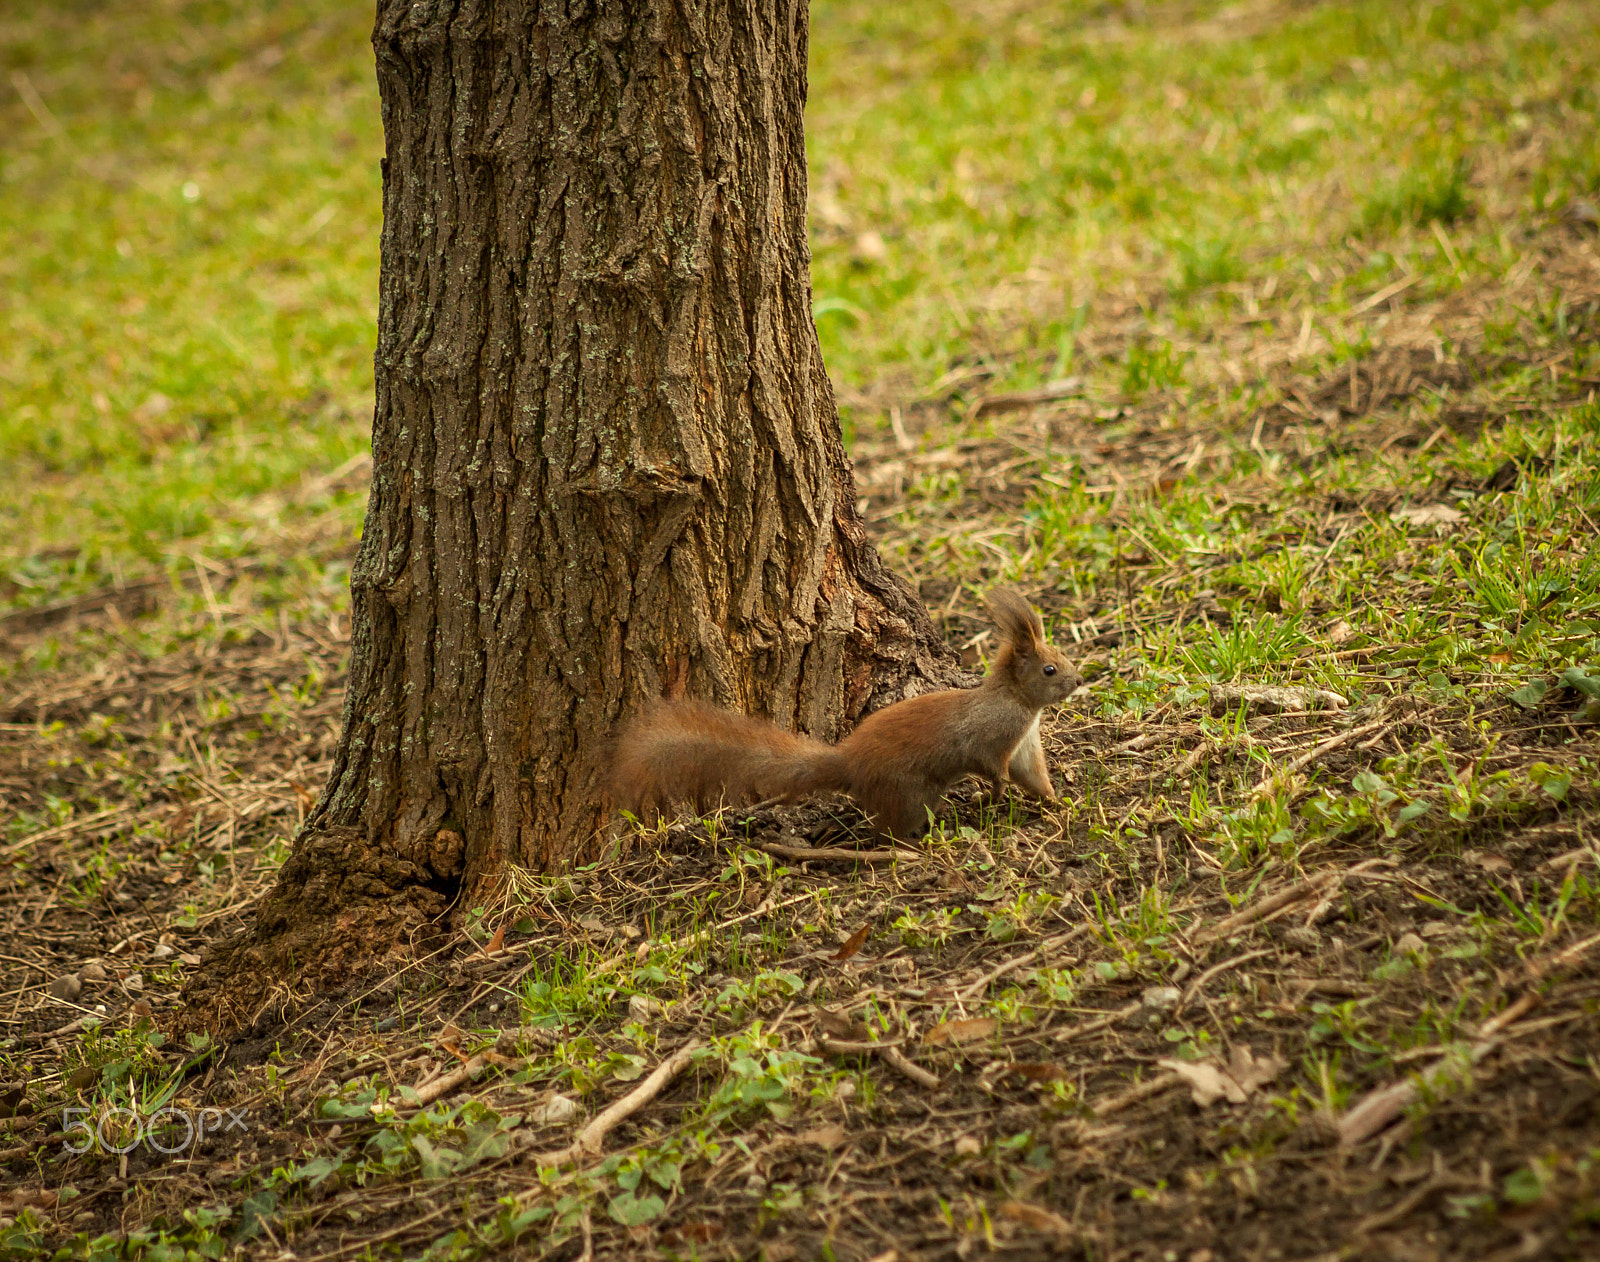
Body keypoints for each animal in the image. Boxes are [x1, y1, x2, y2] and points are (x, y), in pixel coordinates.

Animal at [604, 591, 1081, 838]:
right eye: (1049, 669)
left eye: (1060, 657)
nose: (1079, 680)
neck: (1020, 705)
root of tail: (850, 763)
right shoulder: (989, 737)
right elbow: (991, 766)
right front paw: (995, 795)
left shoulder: (1024, 746)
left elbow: (1033, 776)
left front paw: (1058, 803)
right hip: (910, 792)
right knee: (890, 828)